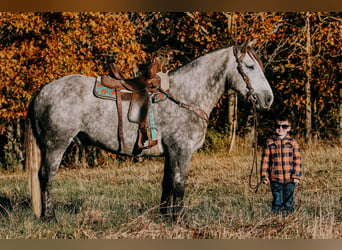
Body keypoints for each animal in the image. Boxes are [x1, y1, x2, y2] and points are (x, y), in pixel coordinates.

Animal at [25, 40, 274, 220]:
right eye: (250, 67)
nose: (268, 99)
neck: (185, 96)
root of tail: (42, 91)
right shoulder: (181, 151)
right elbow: (179, 185)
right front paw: (179, 219)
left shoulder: (171, 153)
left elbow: (167, 184)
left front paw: (165, 217)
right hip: (56, 146)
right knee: (46, 176)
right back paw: (49, 217)